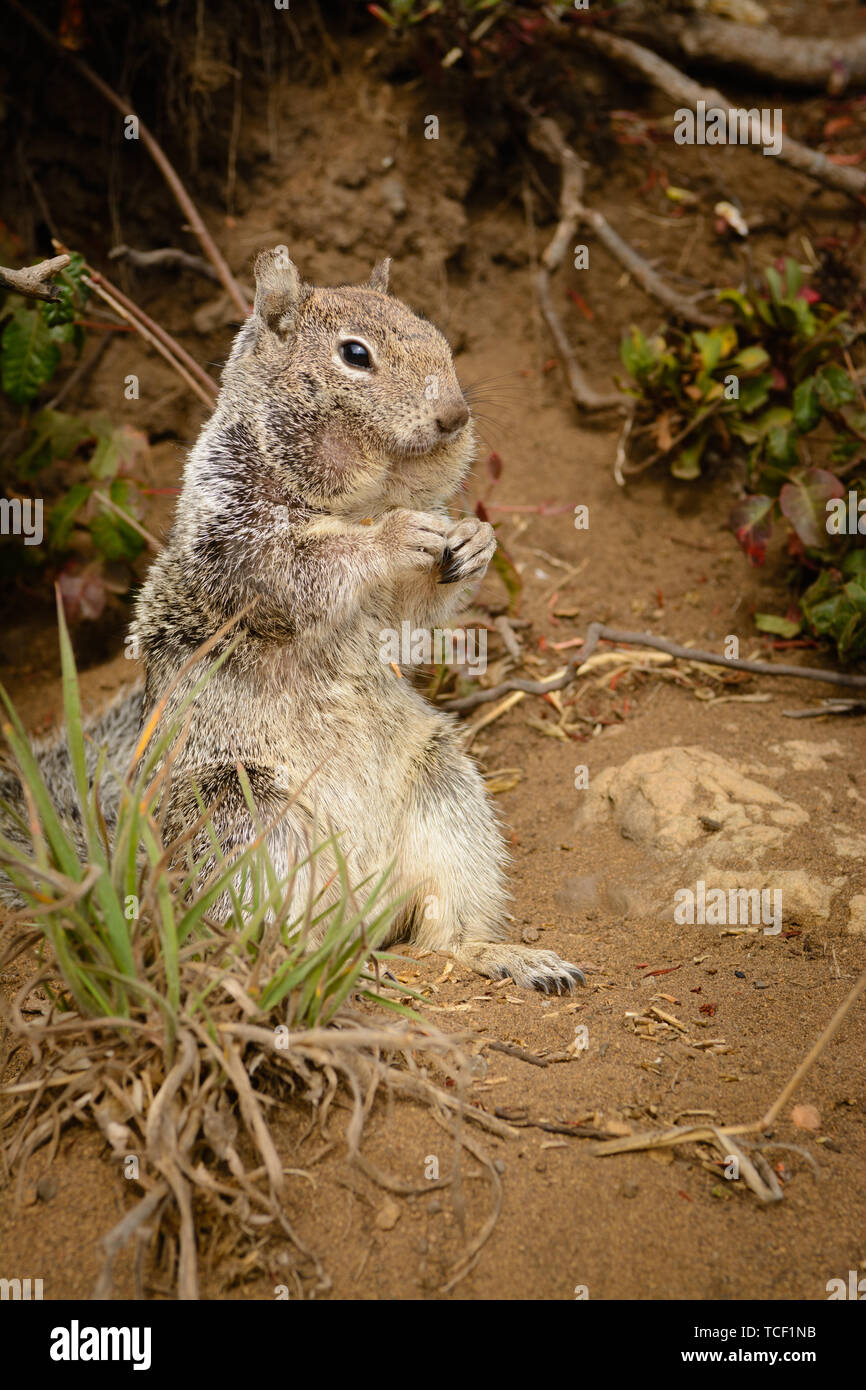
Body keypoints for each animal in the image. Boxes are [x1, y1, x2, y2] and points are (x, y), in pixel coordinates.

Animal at [1, 247, 583, 989]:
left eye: (433, 331)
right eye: (355, 354)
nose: (455, 414)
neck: (364, 495)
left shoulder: (385, 611)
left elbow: (409, 619)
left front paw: (475, 542)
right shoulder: (234, 538)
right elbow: (294, 572)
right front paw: (392, 538)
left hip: (447, 796)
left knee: (441, 934)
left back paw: (500, 954)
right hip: (243, 818)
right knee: (261, 937)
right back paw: (322, 965)